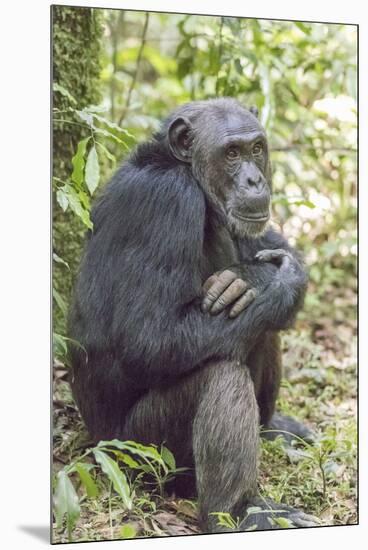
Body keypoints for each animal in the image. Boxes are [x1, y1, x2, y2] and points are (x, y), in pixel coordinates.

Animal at [69, 99, 320, 536]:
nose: (254, 179)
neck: (185, 171)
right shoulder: (166, 202)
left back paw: (274, 429)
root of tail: (98, 449)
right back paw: (242, 512)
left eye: (256, 148)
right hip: (144, 455)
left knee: (261, 325)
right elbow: (150, 337)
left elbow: (267, 244)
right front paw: (267, 277)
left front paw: (268, 274)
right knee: (220, 374)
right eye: (231, 153)